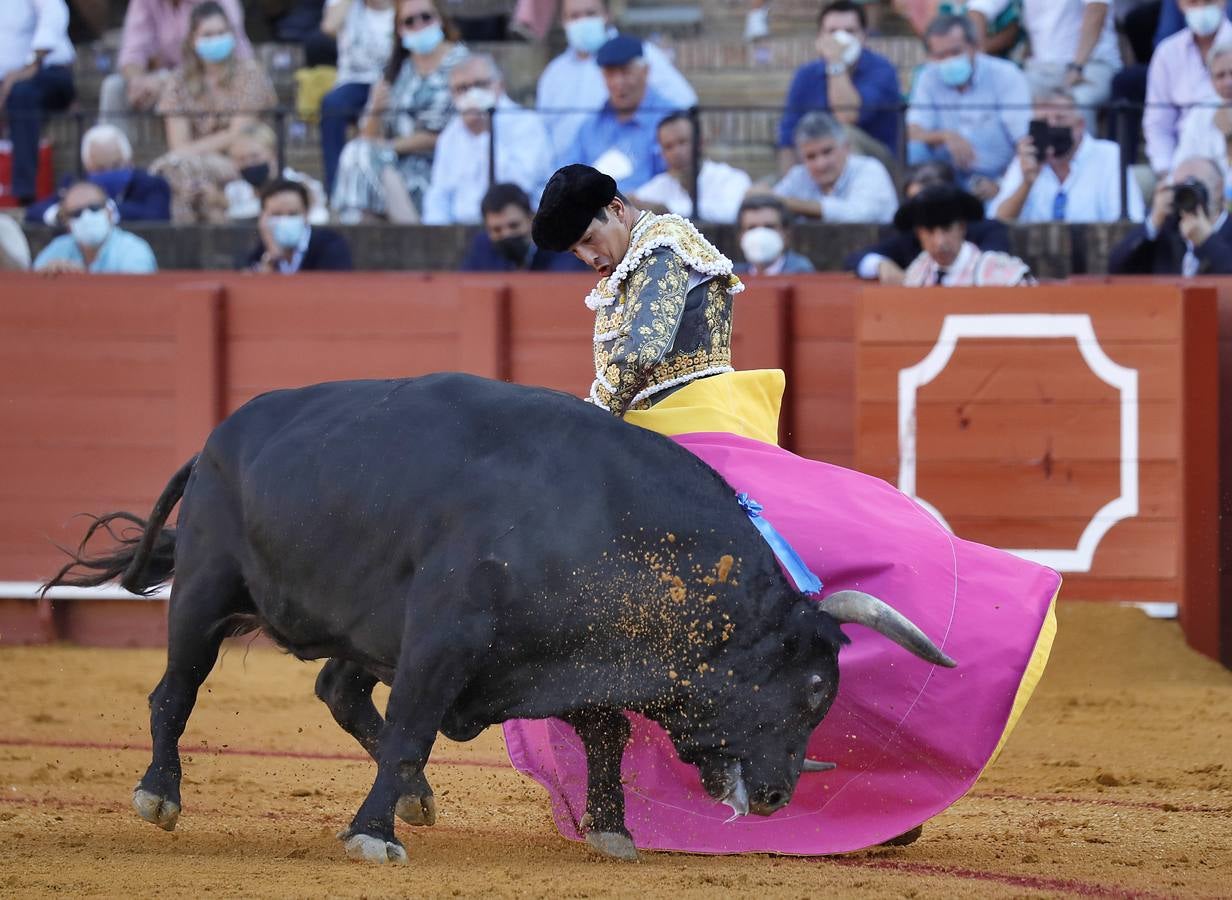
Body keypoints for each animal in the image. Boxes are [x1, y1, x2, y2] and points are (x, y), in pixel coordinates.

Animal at [45, 374, 951, 866]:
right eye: (811, 690)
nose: (773, 796)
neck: (594, 517)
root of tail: (216, 439)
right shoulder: (441, 644)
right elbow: (413, 729)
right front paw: (370, 836)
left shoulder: (564, 656)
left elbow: (605, 732)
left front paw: (611, 831)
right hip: (204, 591)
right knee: (175, 691)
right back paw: (159, 795)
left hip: (359, 623)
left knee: (339, 689)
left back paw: (415, 798)